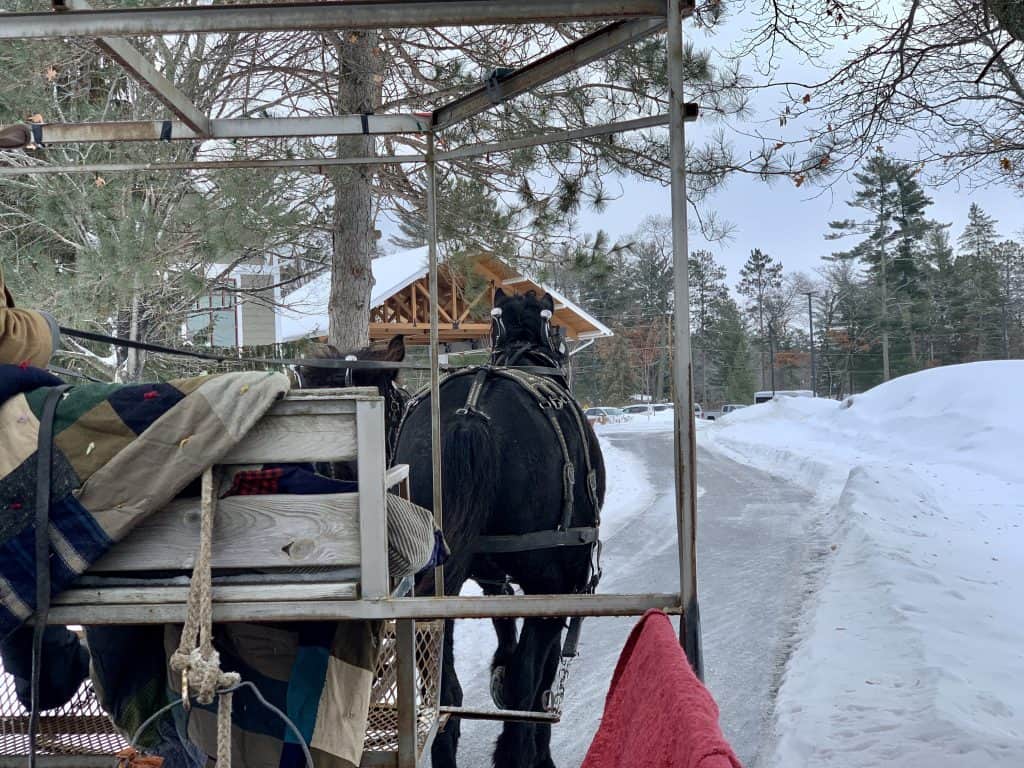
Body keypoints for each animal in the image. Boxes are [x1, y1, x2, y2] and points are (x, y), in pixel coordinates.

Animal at [395, 288, 602, 768]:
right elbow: (538, 673)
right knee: (529, 682)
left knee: (445, 693)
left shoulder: (489, 576)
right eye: (558, 336)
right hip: (551, 580)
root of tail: (471, 414)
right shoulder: (563, 583)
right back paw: (519, 749)